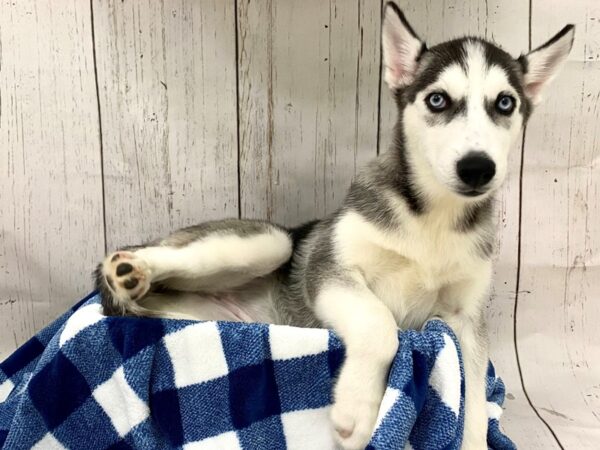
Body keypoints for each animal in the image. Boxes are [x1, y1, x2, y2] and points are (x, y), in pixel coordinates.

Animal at [94, 4, 572, 450]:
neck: (430, 218)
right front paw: (357, 411)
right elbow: (380, 324)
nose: (477, 168)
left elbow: (471, 392)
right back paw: (127, 272)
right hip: (272, 242)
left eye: (505, 103)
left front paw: (472, 438)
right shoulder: (326, 267)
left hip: (196, 315)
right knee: (146, 255)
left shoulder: (465, 318)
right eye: (438, 100)